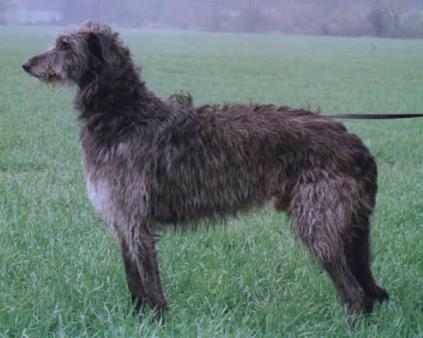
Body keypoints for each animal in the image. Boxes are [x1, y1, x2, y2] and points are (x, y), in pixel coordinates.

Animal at [22, 21, 388, 320]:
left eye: (64, 45)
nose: (26, 65)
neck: (125, 113)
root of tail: (357, 145)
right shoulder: (121, 219)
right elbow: (134, 281)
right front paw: (135, 319)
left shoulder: (137, 219)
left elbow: (150, 282)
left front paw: (156, 322)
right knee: (365, 291)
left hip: (319, 220)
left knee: (355, 292)